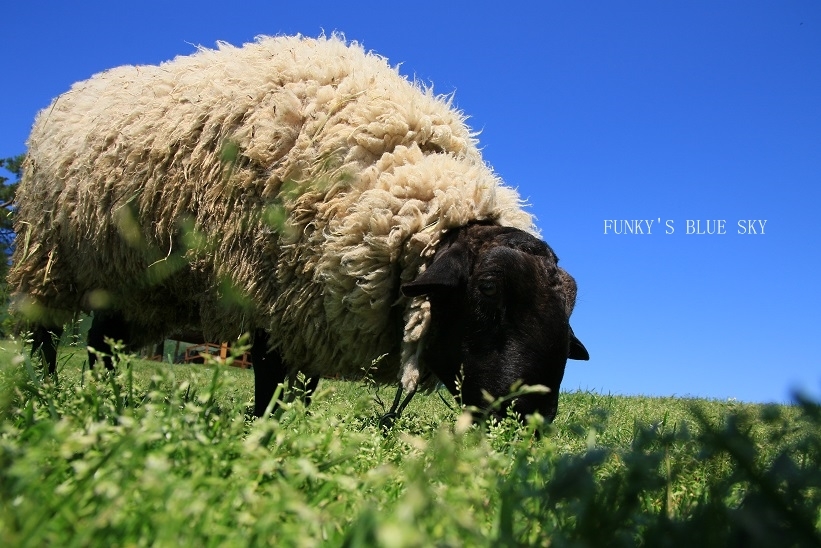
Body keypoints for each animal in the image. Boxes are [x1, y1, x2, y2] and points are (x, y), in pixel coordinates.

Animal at [9, 33, 588, 420]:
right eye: (487, 293)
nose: (530, 418)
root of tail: (69, 94)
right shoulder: (271, 292)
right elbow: (270, 376)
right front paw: (266, 427)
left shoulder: (315, 302)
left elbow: (304, 383)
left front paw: (294, 425)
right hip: (49, 259)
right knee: (47, 334)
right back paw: (49, 390)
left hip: (130, 284)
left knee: (100, 341)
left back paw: (103, 397)